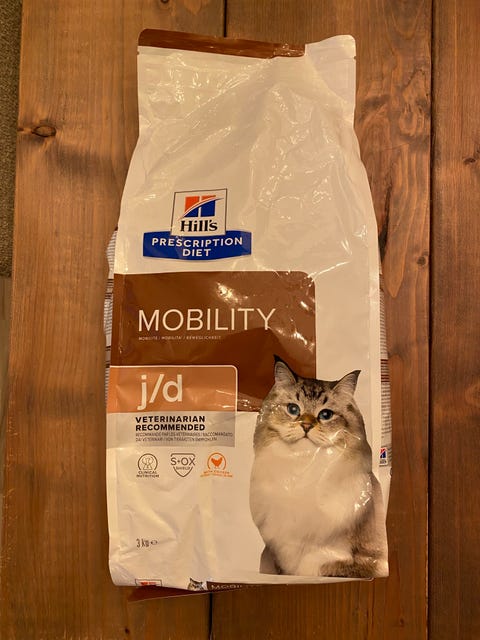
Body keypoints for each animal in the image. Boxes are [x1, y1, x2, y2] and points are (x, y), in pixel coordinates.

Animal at [249, 356, 388, 579]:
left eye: (325, 414)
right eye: (293, 409)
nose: (306, 426)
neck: (303, 474)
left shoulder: (360, 558)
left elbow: (324, 565)